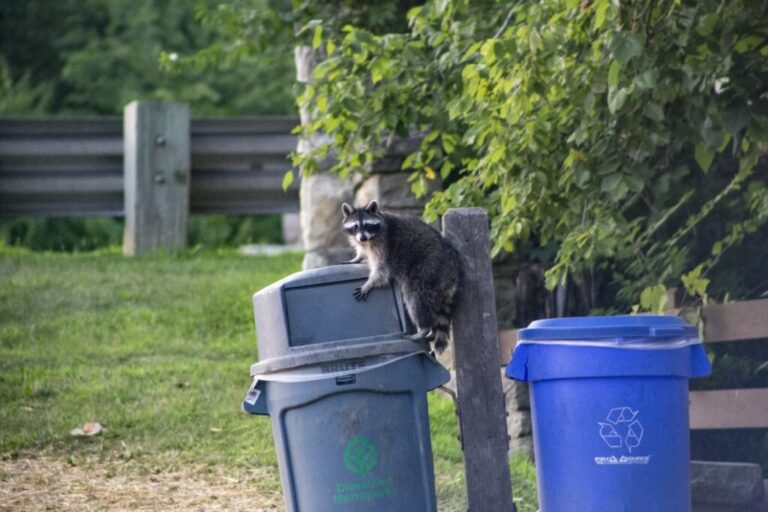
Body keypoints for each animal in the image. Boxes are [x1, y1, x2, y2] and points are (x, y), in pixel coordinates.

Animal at [341, 200, 462, 354]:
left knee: (415, 298)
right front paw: (357, 258)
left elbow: (382, 272)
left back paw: (424, 329)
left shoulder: (385, 245)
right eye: (355, 226)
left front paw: (369, 283)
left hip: (428, 269)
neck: (371, 238)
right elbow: (362, 251)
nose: (362, 237)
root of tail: (453, 267)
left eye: (367, 225)